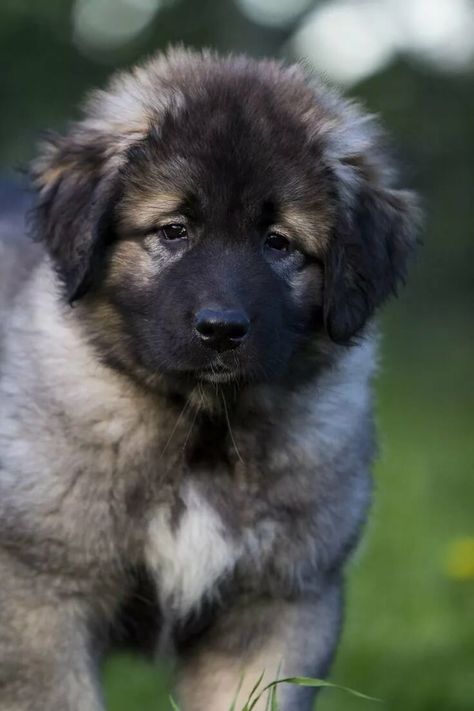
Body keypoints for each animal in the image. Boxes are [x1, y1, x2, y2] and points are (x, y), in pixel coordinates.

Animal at [0, 47, 418, 708]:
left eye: (279, 243)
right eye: (174, 230)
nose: (222, 329)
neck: (202, 430)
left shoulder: (280, 608)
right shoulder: (43, 599)